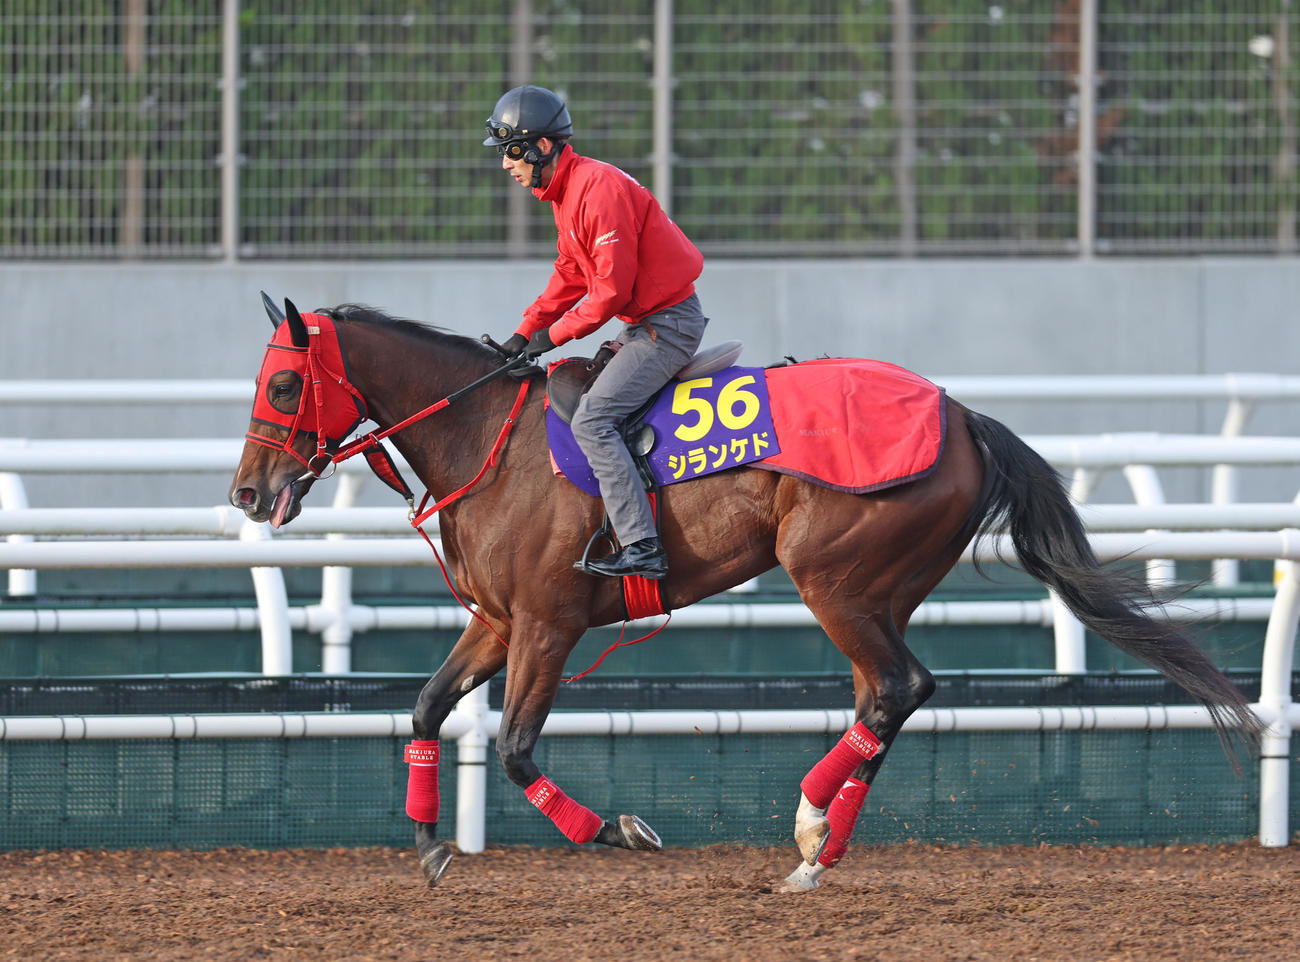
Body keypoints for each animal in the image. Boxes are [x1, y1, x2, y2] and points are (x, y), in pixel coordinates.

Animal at [229, 297, 1263, 892]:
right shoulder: (497, 620)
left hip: (830, 576)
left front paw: (619, 830)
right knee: (887, 696)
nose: (247, 492)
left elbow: (518, 750)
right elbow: (426, 707)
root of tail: (962, 415)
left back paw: (809, 829)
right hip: (875, 590)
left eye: (280, 383)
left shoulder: (550, 625)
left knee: (899, 689)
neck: (489, 435)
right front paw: (430, 845)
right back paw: (818, 847)